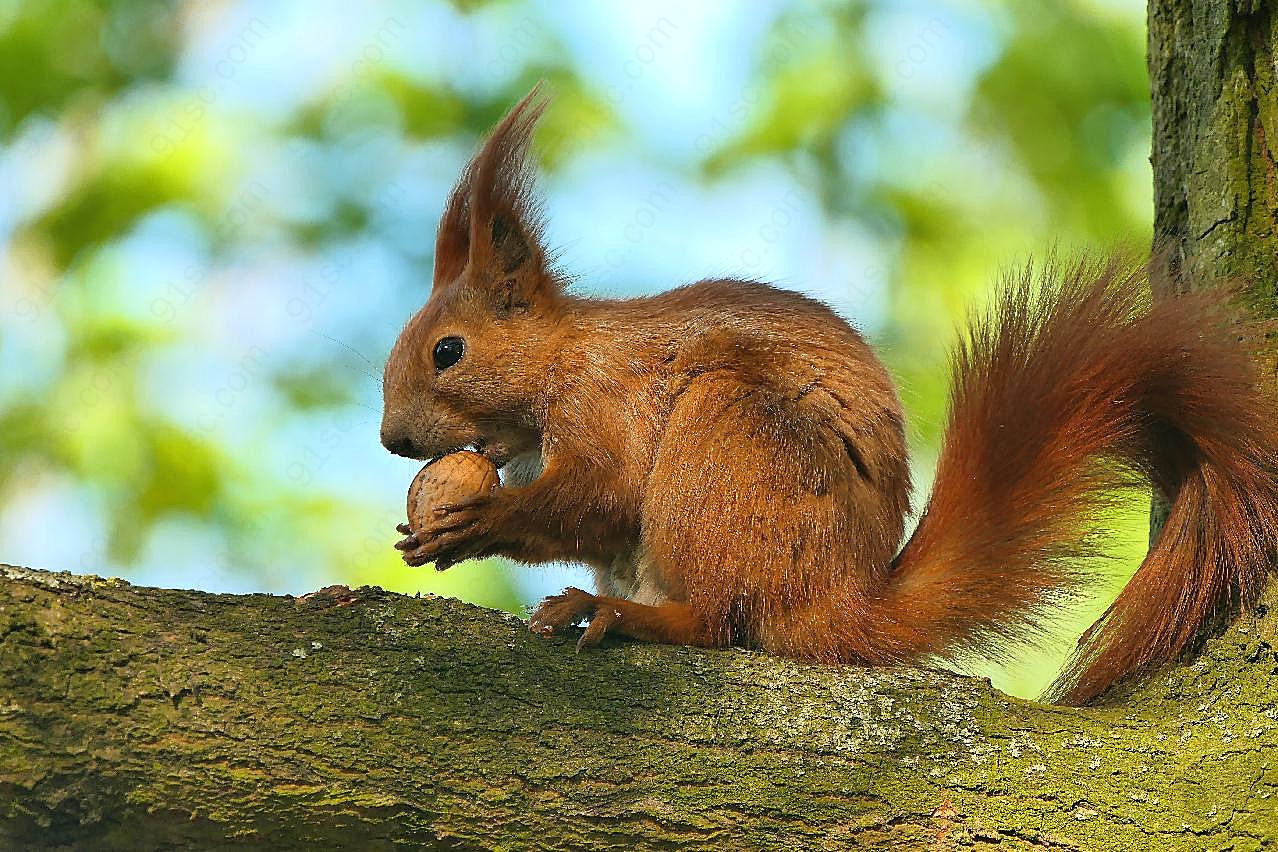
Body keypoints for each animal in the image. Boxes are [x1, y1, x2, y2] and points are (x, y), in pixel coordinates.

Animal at [378, 91, 1278, 705]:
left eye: (447, 352)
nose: (393, 442)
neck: (562, 358)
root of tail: (838, 603)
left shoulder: (607, 401)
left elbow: (605, 494)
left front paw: (478, 519)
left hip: (731, 439)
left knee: (721, 622)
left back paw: (622, 615)